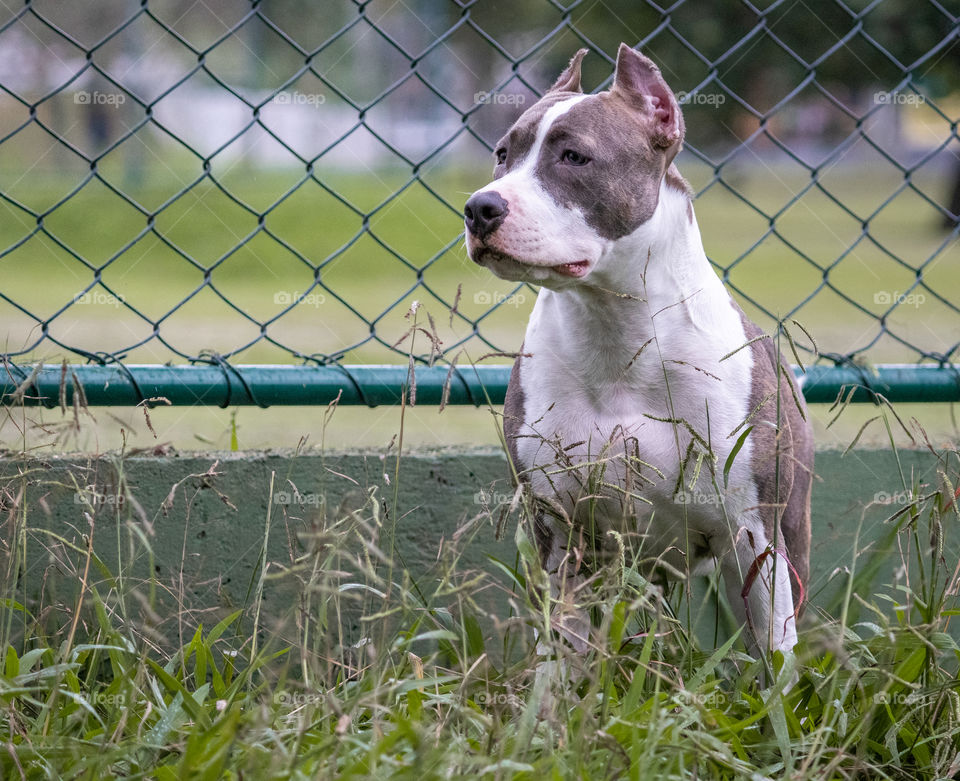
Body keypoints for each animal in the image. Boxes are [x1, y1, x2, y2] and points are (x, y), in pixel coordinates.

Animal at [464, 45, 808, 660]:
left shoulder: (755, 536)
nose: (479, 207)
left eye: (575, 156)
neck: (616, 331)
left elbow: (774, 659)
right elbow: (563, 656)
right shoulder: (560, 533)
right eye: (503, 154)